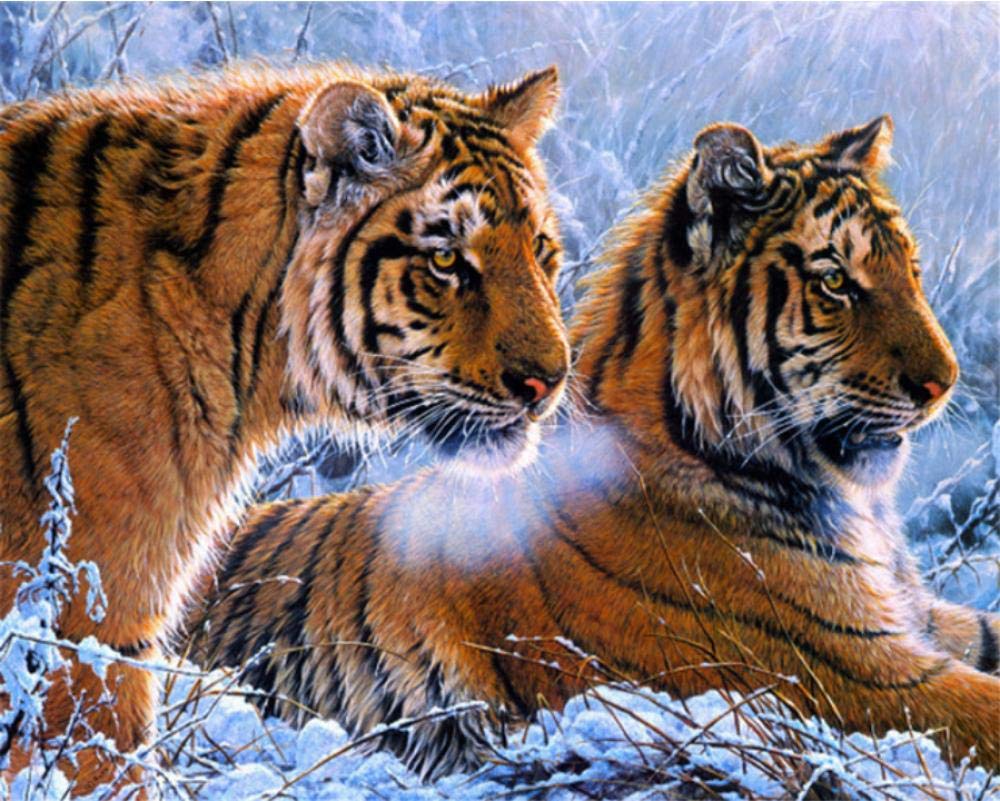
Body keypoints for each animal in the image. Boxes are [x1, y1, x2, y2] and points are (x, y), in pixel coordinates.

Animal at [194, 115, 1000, 779]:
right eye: (835, 281)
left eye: (911, 272)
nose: (945, 382)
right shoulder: (852, 670)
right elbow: (981, 709)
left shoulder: (921, 620)